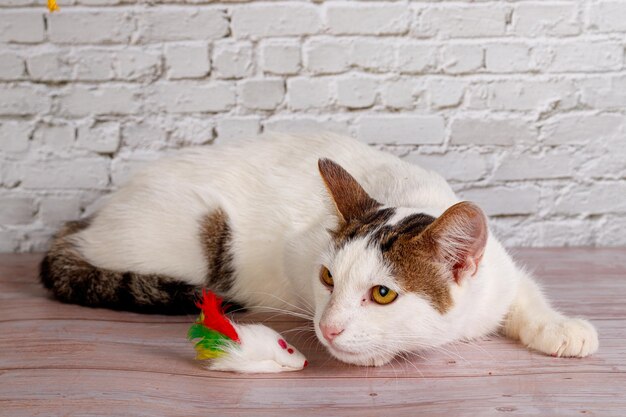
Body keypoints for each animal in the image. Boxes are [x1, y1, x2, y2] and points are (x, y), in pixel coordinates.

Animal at [39, 132, 596, 368]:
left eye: (383, 293)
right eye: (327, 278)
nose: (329, 329)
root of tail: (89, 218)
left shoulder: (497, 272)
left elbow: (524, 291)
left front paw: (560, 327)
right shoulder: (295, 250)